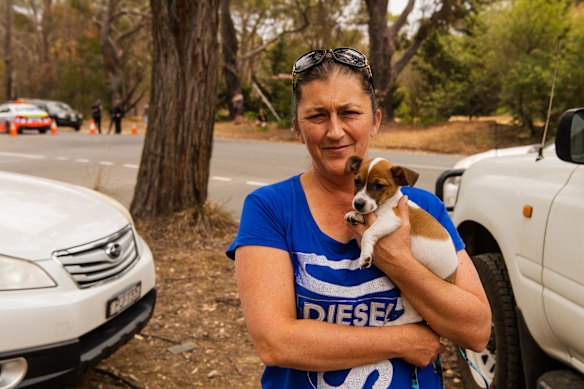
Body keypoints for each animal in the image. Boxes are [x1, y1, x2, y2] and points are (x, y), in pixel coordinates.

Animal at [344, 155, 458, 324]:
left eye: (378, 185)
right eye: (356, 181)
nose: (357, 204)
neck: (387, 202)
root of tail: (452, 277)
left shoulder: (391, 219)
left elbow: (368, 234)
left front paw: (365, 256)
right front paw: (355, 215)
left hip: (412, 289)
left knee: (413, 316)